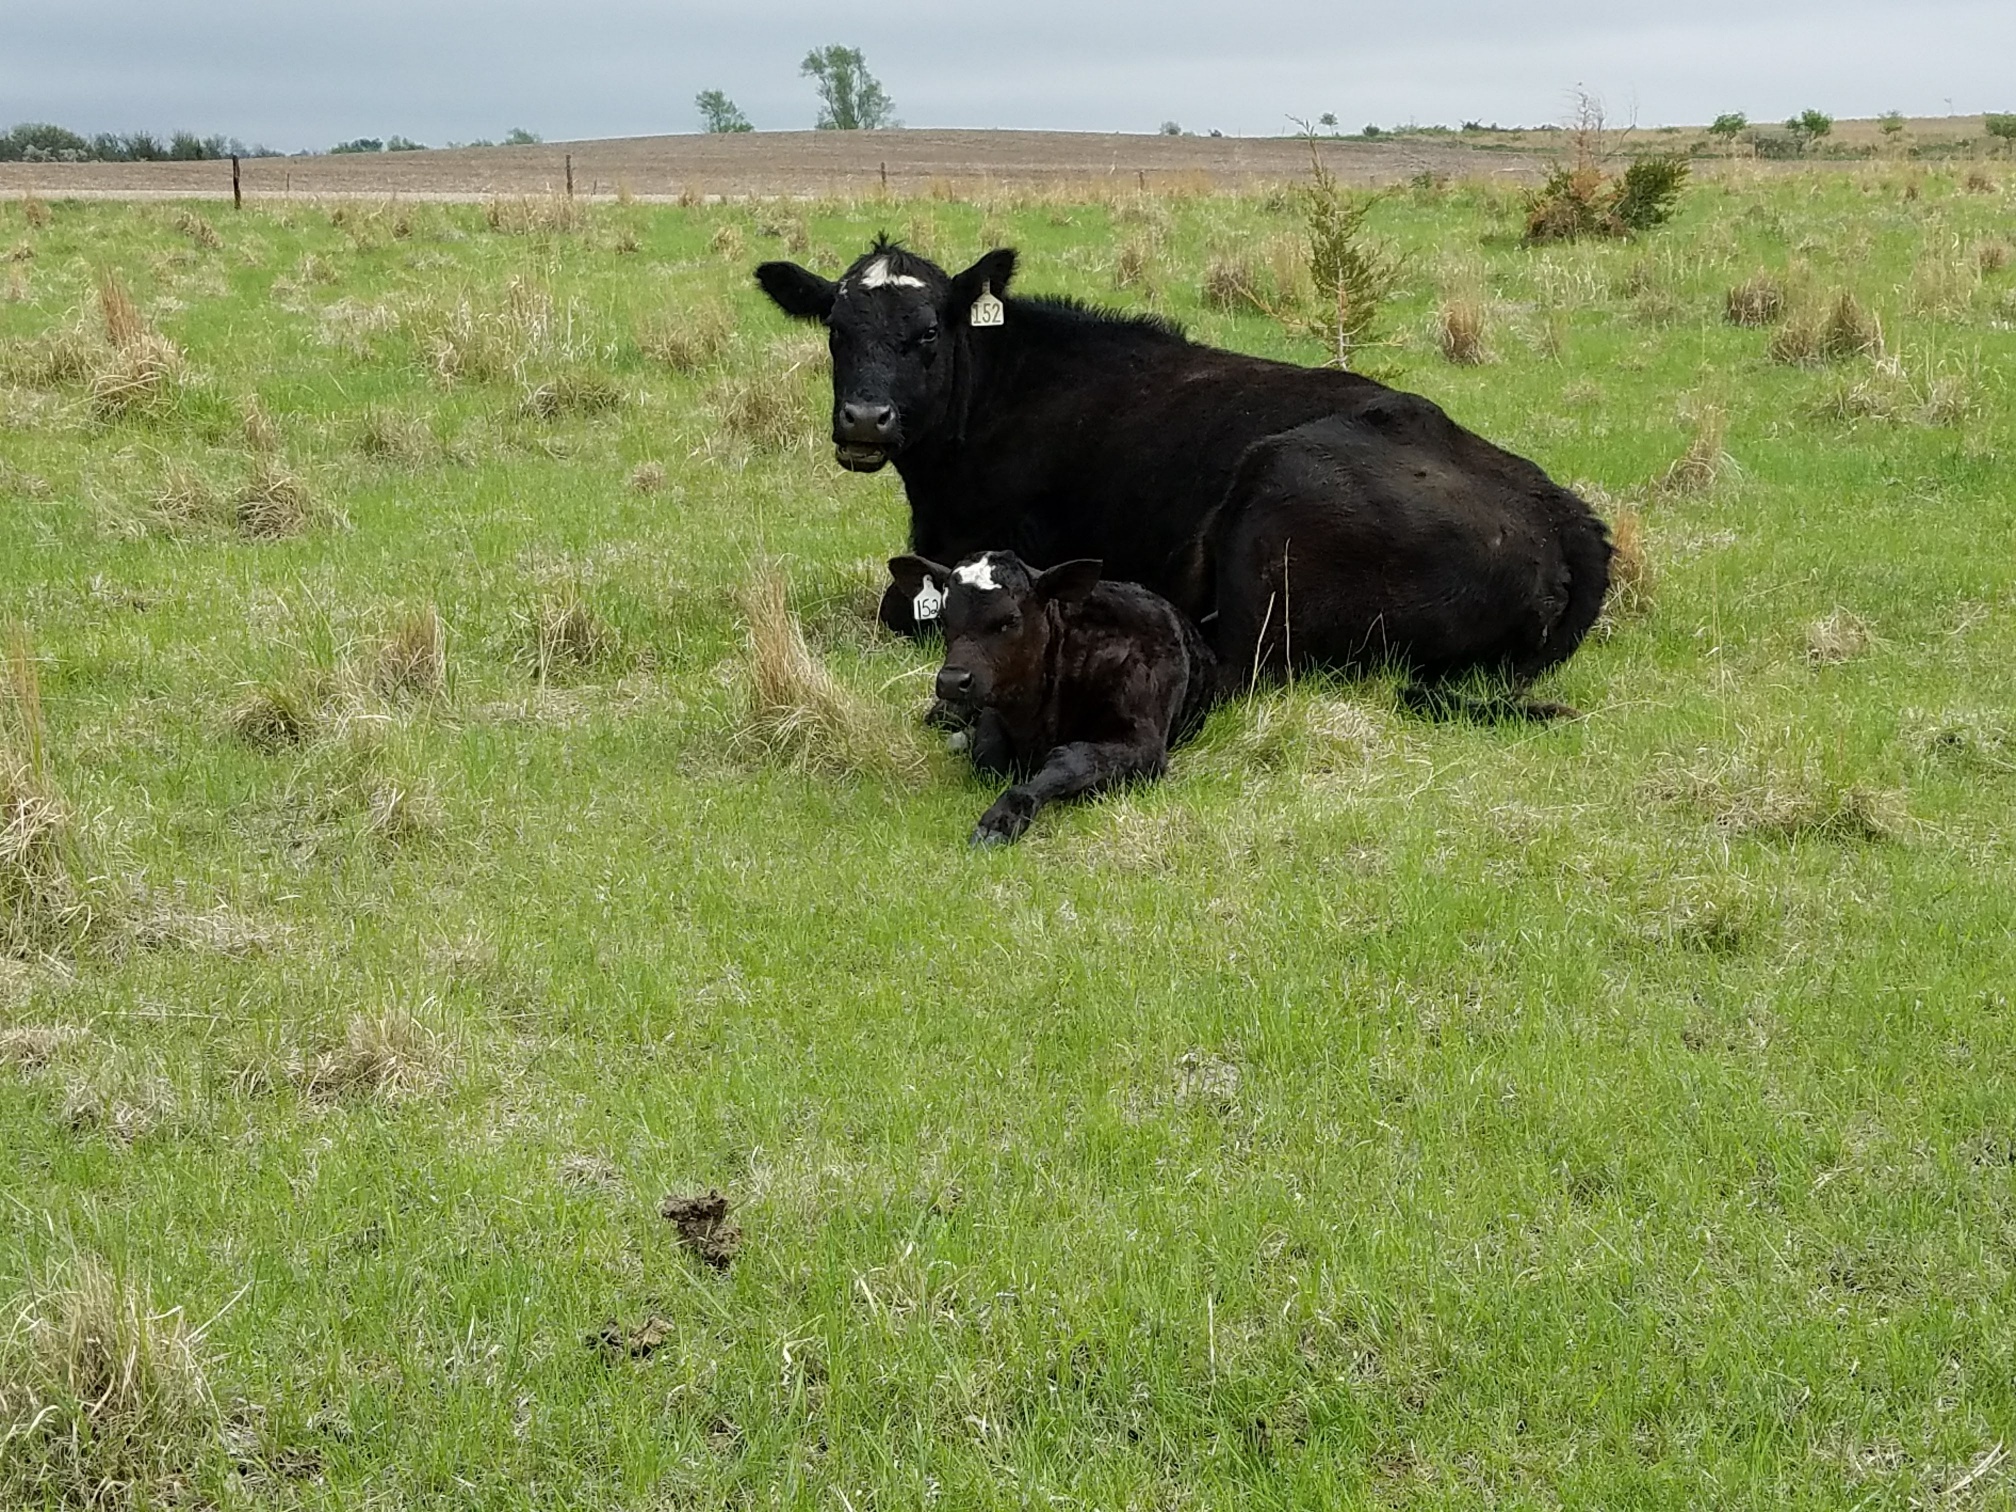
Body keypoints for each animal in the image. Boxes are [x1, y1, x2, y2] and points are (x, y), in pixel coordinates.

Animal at [749, 239, 1612, 713]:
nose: (865, 419)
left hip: (1272, 502)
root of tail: (1563, 511)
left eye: (928, 332)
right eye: (835, 329)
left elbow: (900, 606)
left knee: (1239, 671)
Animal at [895, 552, 1209, 846]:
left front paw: (1003, 818)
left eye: (1010, 620)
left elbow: (1070, 761)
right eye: (943, 618)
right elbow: (987, 752)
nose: (951, 681)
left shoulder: (1145, 745)